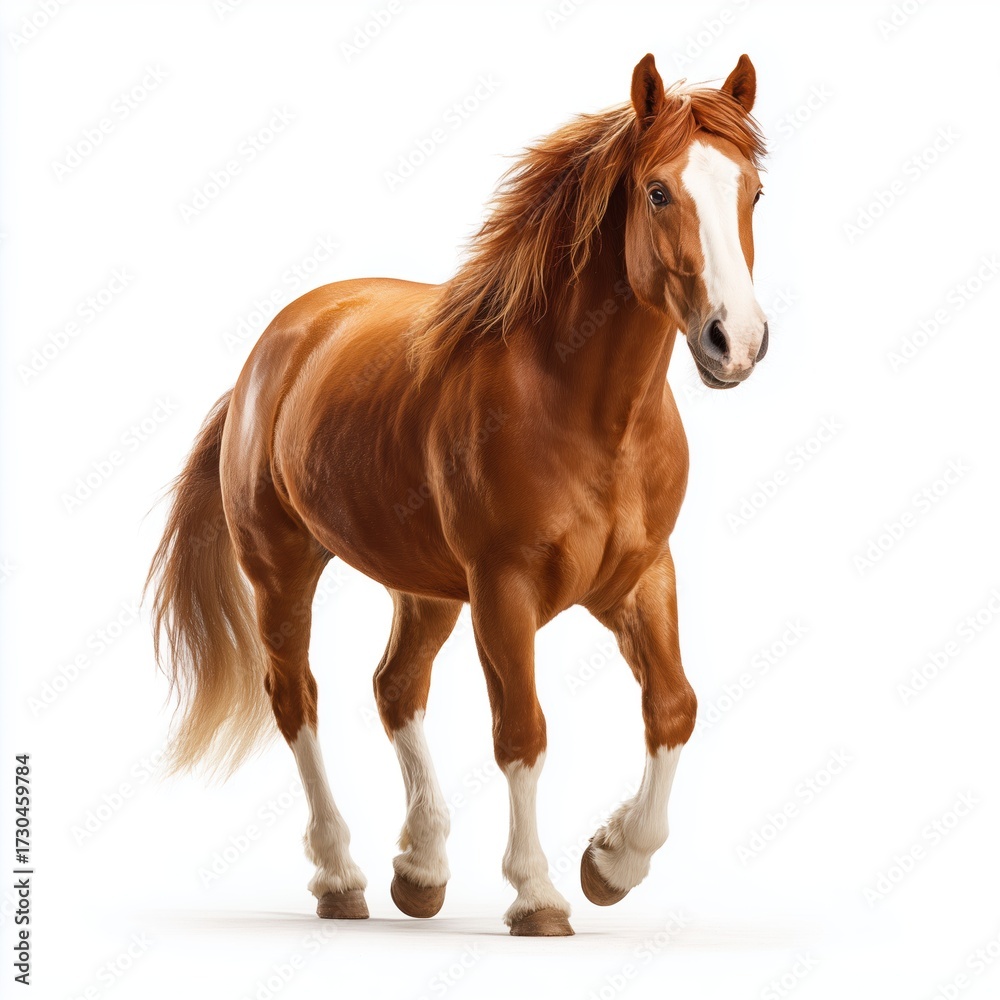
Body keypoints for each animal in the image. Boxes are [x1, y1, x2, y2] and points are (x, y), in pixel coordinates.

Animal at [147, 52, 768, 937]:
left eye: (753, 192)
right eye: (657, 191)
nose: (735, 341)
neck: (584, 410)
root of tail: (271, 352)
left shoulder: (641, 576)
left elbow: (674, 706)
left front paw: (612, 861)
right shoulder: (503, 588)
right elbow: (522, 732)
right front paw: (538, 894)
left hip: (426, 588)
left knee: (395, 687)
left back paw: (421, 871)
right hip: (282, 569)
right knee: (297, 698)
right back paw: (341, 877)